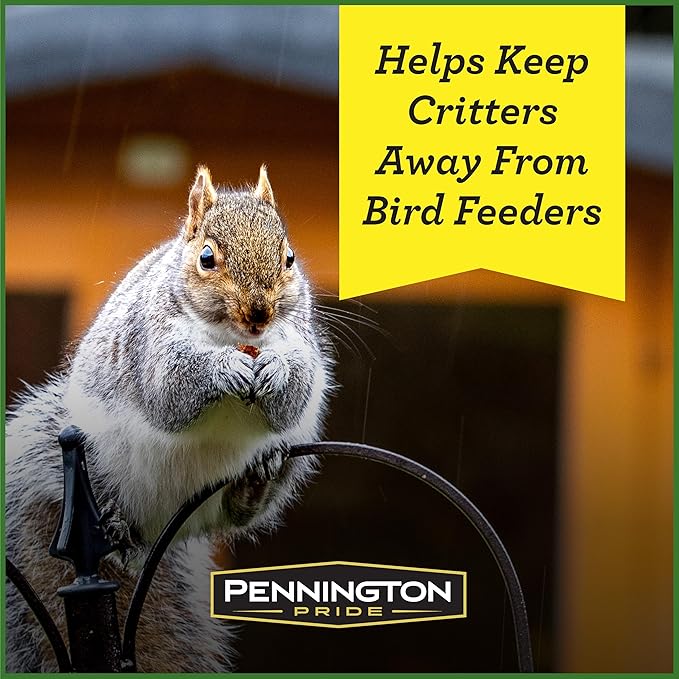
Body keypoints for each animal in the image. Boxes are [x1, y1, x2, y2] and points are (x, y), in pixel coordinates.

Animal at [5, 165, 334, 672]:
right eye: (207, 258)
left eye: (289, 258)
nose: (259, 314)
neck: (229, 336)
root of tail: (164, 516)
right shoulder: (151, 346)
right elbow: (172, 388)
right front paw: (223, 368)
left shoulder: (300, 342)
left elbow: (294, 391)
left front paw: (276, 372)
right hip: (99, 463)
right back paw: (116, 525)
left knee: (236, 513)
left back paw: (256, 480)